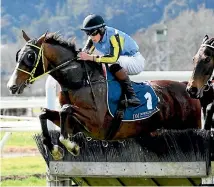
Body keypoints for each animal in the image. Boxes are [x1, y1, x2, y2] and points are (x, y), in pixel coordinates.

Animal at [6, 30, 201, 159]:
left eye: (30, 56)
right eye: (18, 55)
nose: (12, 86)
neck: (80, 81)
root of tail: (185, 87)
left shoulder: (97, 124)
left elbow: (66, 110)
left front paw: (72, 146)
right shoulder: (76, 125)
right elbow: (44, 113)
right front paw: (53, 148)